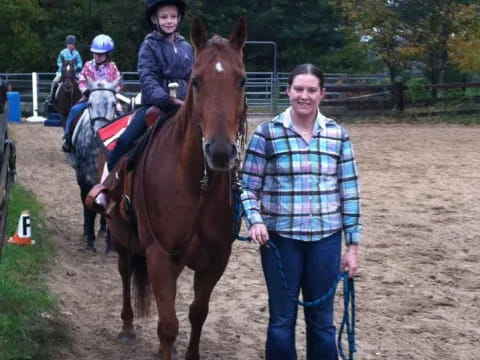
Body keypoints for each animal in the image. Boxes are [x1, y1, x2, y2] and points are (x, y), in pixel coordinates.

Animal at [67, 80, 119, 252]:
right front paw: (90, 241)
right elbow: (88, 208)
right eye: (90, 103)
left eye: (113, 103)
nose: (100, 133)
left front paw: (110, 245)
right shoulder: (85, 178)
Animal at [105, 17, 248, 360]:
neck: (196, 185)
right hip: (121, 238)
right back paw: (127, 327)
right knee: (125, 273)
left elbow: (198, 312)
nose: (219, 152)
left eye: (242, 81)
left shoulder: (217, 259)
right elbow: (168, 325)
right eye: (195, 81)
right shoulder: (160, 256)